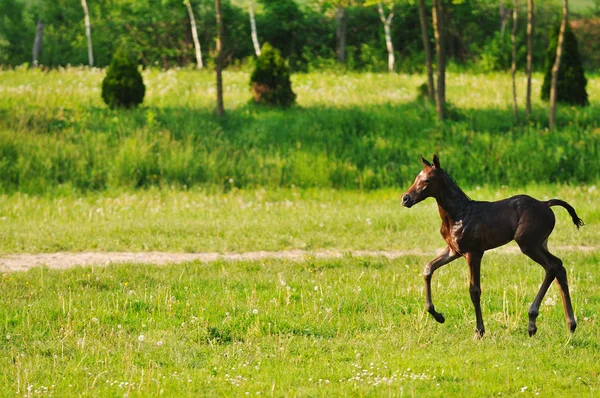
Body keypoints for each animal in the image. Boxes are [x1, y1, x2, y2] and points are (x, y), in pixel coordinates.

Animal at [400, 154, 584, 338]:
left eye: (428, 180)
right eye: (416, 178)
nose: (405, 198)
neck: (458, 214)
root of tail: (546, 204)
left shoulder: (474, 253)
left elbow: (474, 290)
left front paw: (479, 331)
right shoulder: (454, 250)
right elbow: (428, 268)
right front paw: (438, 316)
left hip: (528, 244)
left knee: (552, 267)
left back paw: (533, 323)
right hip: (540, 244)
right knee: (559, 266)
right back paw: (570, 325)